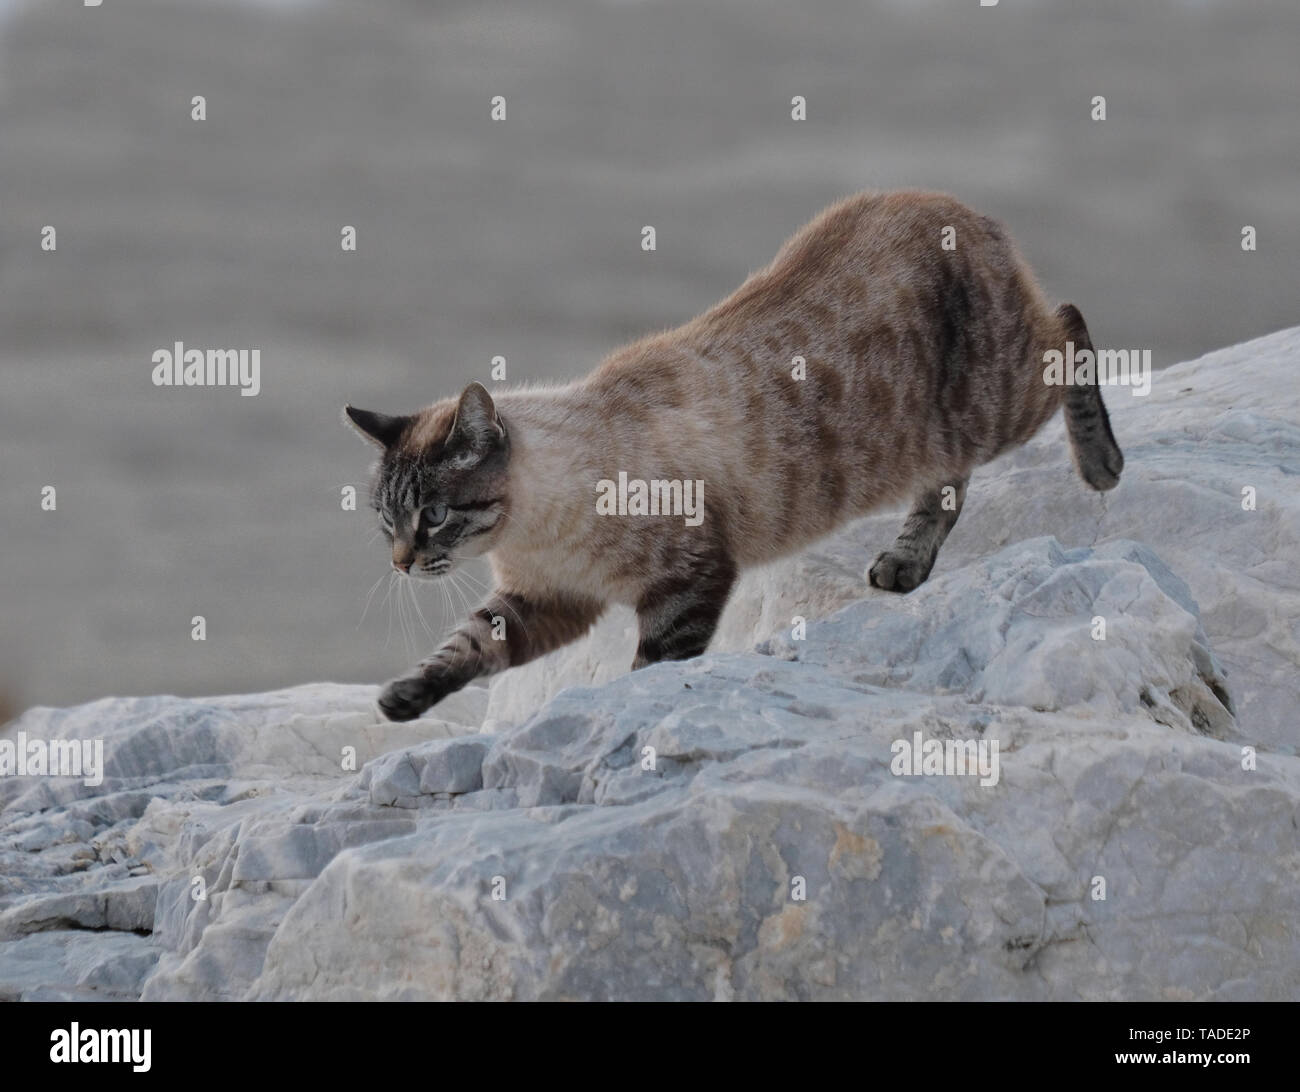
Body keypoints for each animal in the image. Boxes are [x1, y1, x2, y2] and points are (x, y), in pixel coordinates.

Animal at [351, 188, 1123, 722]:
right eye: (387, 522)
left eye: (435, 515)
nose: (402, 564)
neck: (531, 534)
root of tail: (960, 205)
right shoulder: (545, 600)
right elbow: (462, 649)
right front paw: (400, 700)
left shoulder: (685, 583)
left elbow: (651, 668)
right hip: (942, 436)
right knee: (947, 485)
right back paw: (904, 566)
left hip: (996, 404)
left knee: (1070, 329)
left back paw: (1102, 465)